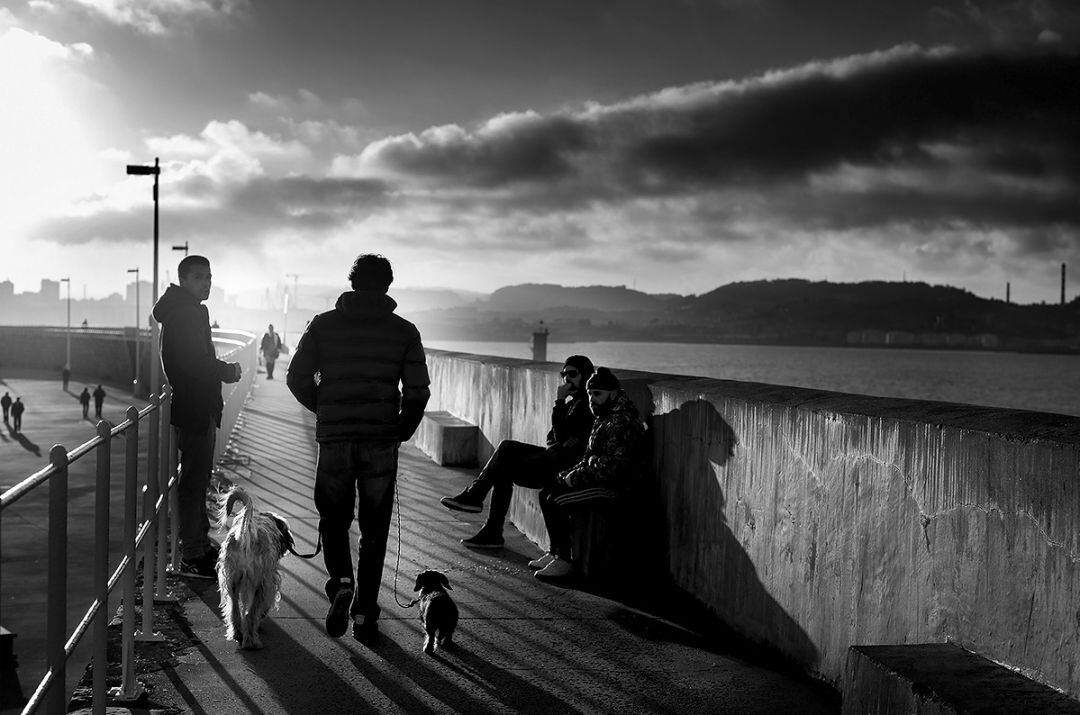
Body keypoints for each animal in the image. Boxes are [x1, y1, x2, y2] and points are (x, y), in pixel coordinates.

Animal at [216, 488, 293, 648]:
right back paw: (251, 641)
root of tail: (246, 534)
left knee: (234, 610)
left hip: (231, 581)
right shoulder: (269, 581)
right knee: (249, 614)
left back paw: (237, 634)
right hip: (259, 583)